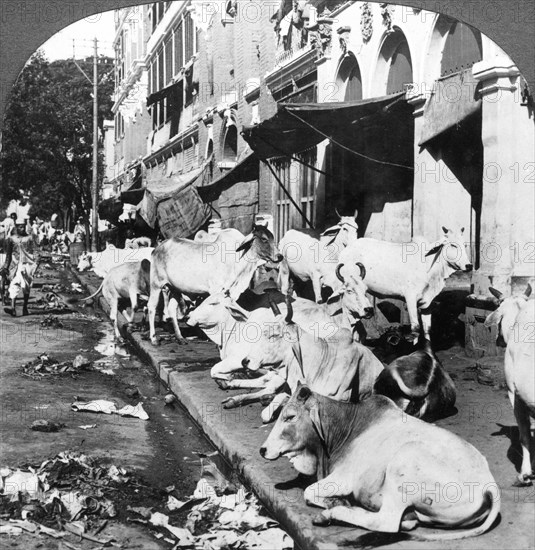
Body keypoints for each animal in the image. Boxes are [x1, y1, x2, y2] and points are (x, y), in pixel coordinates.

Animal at [147, 224, 280, 344]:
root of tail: (157, 248)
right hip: (156, 284)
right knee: (151, 307)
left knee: (171, 309)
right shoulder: (216, 290)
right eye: (264, 239)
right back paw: (154, 339)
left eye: (272, 237)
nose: (280, 256)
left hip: (175, 288)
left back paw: (180, 337)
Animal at [262, 386, 500, 540]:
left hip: (404, 463)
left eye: (290, 416)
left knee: (386, 522)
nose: (263, 450)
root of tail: (489, 484)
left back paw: (331, 514)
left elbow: (308, 491)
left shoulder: (343, 478)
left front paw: (336, 502)